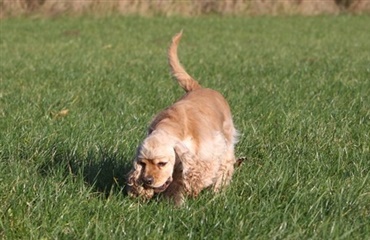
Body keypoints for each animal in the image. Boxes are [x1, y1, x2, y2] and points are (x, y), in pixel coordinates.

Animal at [126, 31, 237, 205]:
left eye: (162, 163)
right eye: (142, 163)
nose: (147, 181)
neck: (172, 125)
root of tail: (199, 88)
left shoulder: (205, 154)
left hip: (227, 138)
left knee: (226, 164)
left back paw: (218, 191)